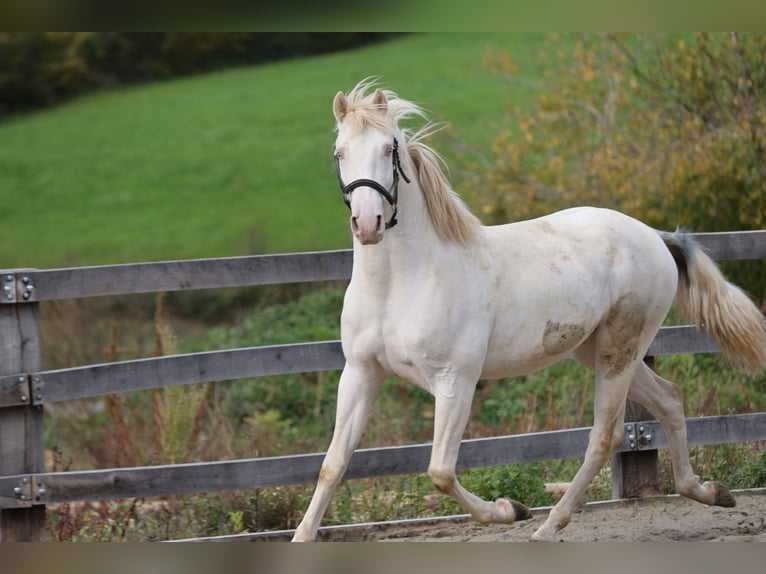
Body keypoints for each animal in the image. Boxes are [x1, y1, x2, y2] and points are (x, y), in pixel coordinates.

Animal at [291, 80, 766, 542]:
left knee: (605, 435)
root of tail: (654, 236)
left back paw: (548, 525)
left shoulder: (455, 381)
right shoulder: (361, 372)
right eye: (339, 152)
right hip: (596, 351)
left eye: (388, 149)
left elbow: (440, 471)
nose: (368, 224)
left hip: (621, 349)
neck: (400, 284)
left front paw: (509, 509)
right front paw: (301, 536)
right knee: (669, 400)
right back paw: (709, 492)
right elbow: (332, 464)